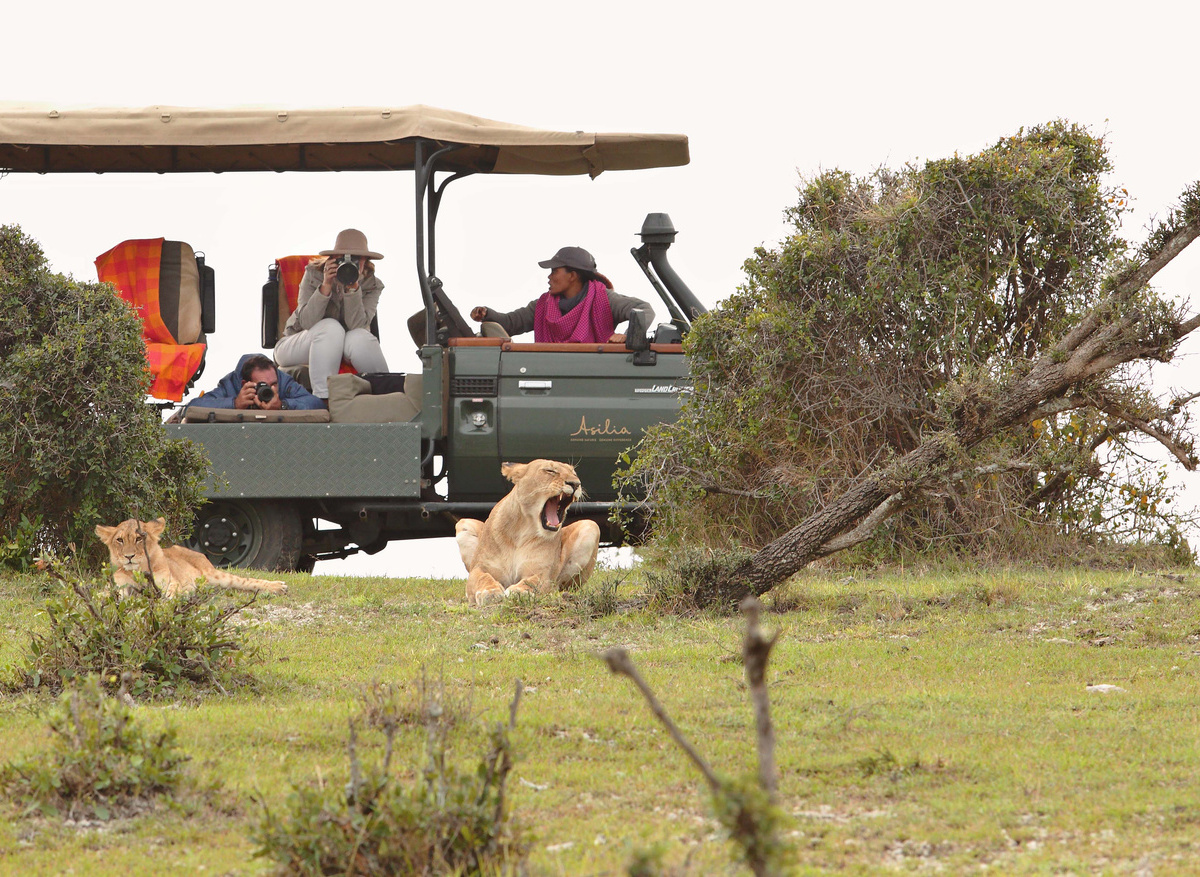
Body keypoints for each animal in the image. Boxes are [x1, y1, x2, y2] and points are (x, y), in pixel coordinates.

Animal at [94, 517, 288, 598]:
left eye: (139, 538)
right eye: (119, 540)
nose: (129, 556)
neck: (138, 571)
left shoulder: (170, 583)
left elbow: (171, 592)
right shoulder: (122, 586)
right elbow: (111, 594)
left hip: (214, 574)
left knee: (246, 581)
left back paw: (278, 587)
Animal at [455, 460, 600, 607]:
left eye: (574, 473)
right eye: (550, 471)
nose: (576, 484)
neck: (521, 530)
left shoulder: (542, 572)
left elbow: (532, 581)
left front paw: (520, 592)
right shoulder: (479, 567)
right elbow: (483, 577)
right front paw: (490, 592)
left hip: (591, 525)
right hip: (464, 523)